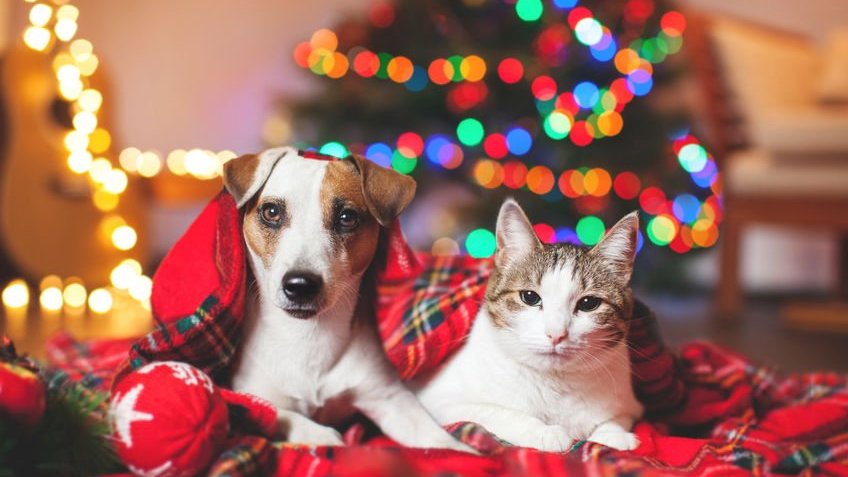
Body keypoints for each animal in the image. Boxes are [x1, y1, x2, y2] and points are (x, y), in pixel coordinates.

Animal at [222, 148, 468, 450]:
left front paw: (466, 451)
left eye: (347, 217)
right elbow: (277, 413)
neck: (307, 337)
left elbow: (437, 438)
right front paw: (319, 434)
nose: (300, 285)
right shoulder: (250, 394)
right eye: (271, 212)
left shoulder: (389, 397)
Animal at [412, 199, 644, 452]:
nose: (556, 334)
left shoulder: (630, 405)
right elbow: (494, 413)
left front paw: (613, 434)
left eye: (589, 303)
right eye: (530, 297)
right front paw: (544, 432)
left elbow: (614, 419)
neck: (555, 384)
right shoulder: (440, 402)